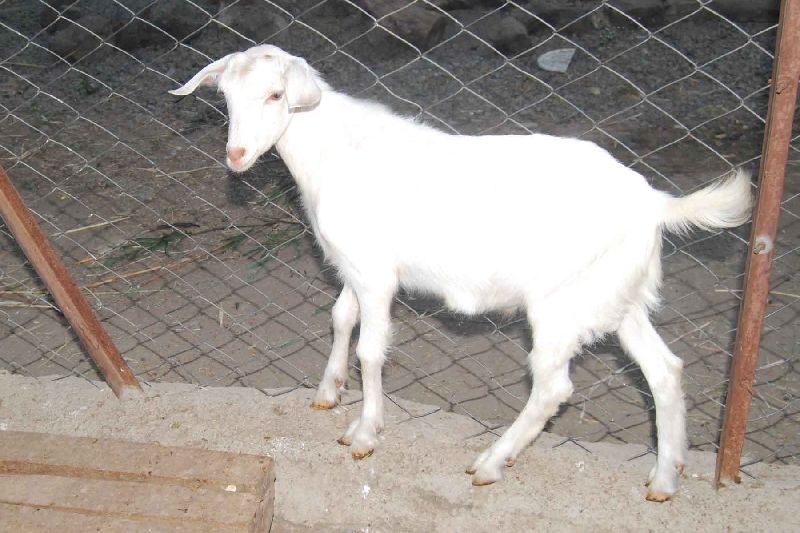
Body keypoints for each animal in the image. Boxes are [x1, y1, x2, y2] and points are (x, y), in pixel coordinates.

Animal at [170, 44, 752, 501]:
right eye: (226, 98)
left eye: (276, 95)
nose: (237, 156)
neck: (332, 152)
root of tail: (654, 204)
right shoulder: (356, 268)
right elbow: (339, 318)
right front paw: (328, 393)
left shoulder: (376, 275)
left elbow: (370, 350)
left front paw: (365, 434)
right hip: (614, 295)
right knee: (665, 371)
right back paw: (664, 479)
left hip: (559, 306)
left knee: (553, 386)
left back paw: (492, 462)